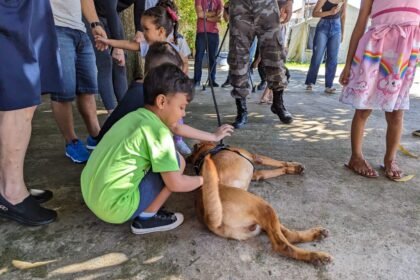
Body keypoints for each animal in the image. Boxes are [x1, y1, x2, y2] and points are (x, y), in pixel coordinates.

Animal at [189, 142, 332, 264]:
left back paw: (316, 234)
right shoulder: (255, 157)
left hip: (263, 213)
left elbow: (270, 171)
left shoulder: (256, 174)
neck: (206, 151)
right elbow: (277, 162)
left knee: (288, 235)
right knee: (282, 245)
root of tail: (209, 220)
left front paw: (292, 169)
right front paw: (293, 166)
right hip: (263, 206)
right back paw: (315, 256)